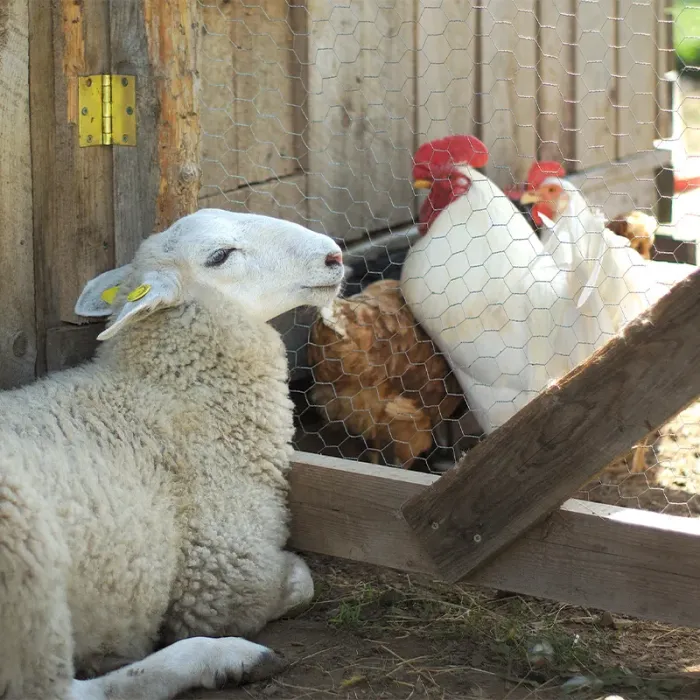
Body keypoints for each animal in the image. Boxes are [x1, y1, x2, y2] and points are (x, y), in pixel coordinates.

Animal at [0, 209, 344, 700]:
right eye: (219, 255)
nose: (334, 256)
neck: (165, 389)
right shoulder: (225, 568)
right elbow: (299, 581)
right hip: (27, 557)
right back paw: (222, 658)